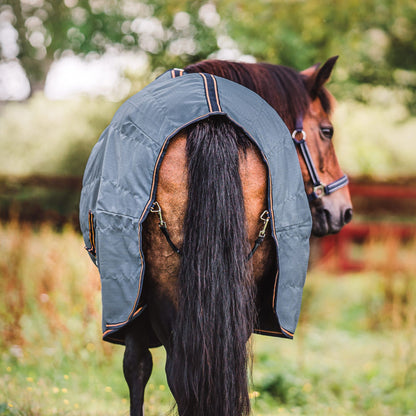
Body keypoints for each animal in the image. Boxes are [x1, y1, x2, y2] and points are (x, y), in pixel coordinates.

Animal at [83, 56, 352, 416]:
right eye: (327, 131)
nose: (344, 210)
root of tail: (212, 121)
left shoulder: (135, 312)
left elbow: (136, 370)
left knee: (182, 377)